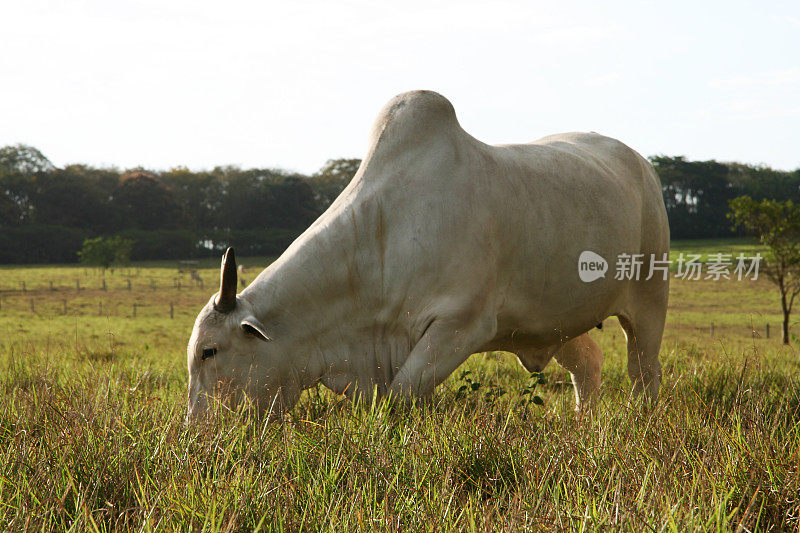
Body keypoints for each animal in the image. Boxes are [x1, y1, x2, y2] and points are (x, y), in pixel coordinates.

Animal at [186, 90, 668, 420]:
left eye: (210, 351)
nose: (197, 431)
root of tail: (640, 162)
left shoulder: (461, 324)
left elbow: (399, 398)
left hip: (649, 298)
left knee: (644, 374)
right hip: (549, 320)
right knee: (589, 364)